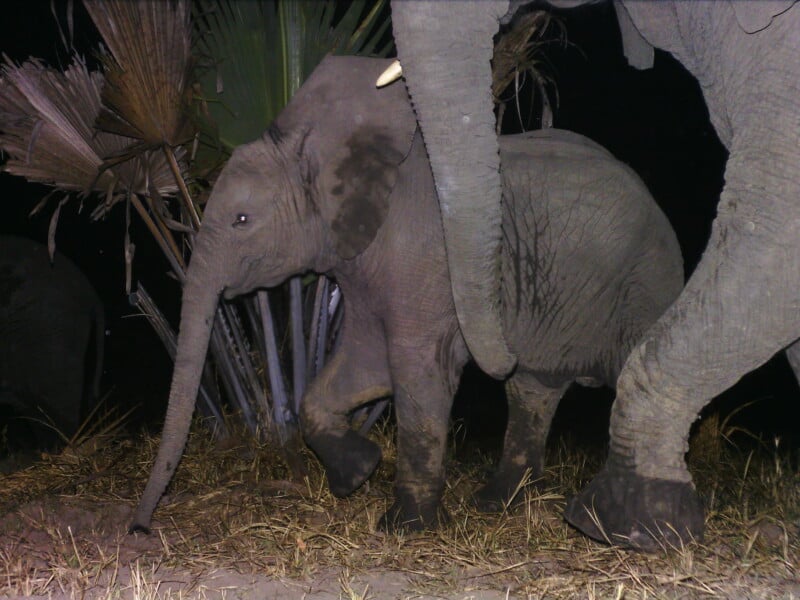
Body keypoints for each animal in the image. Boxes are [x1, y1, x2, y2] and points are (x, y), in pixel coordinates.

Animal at [129, 54, 683, 533]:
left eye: (242, 221)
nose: (139, 528)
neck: (322, 147)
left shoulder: (422, 257)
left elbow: (415, 369)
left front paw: (405, 528)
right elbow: (360, 367)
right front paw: (357, 473)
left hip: (644, 281)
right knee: (533, 389)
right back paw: (493, 504)